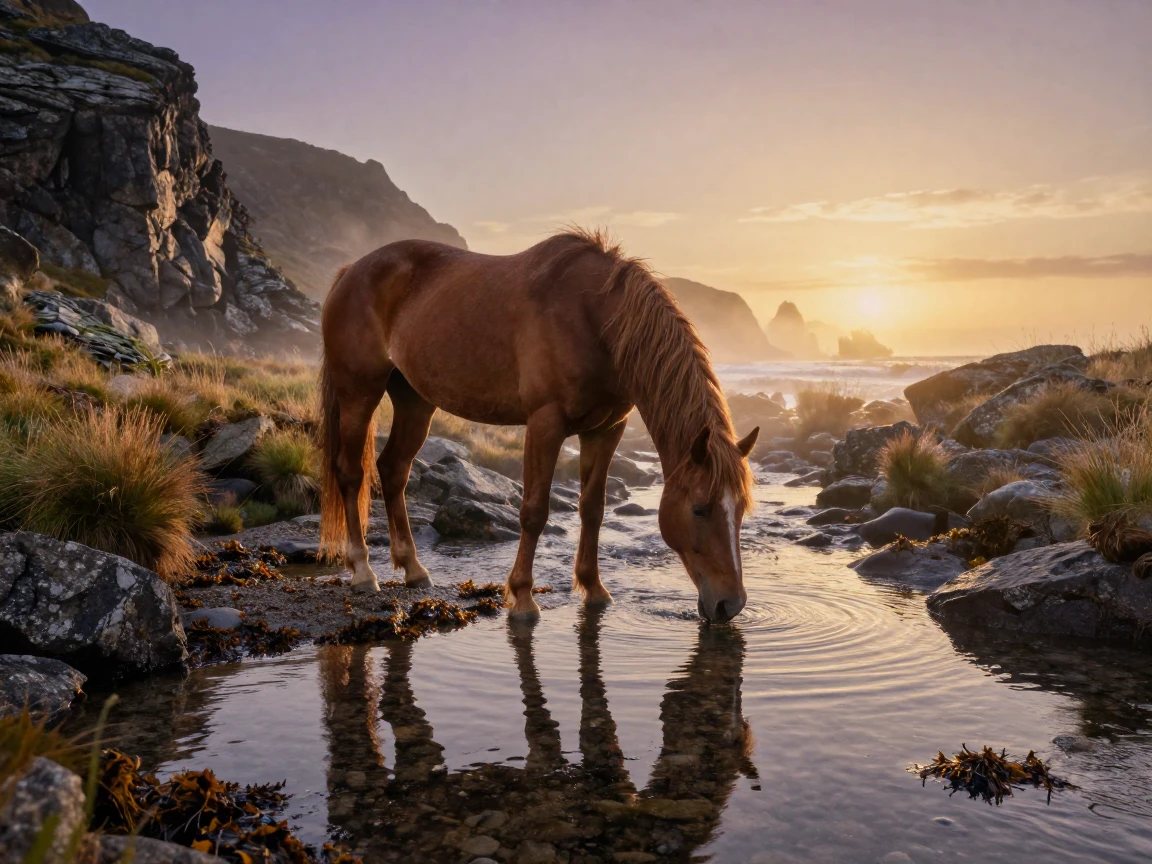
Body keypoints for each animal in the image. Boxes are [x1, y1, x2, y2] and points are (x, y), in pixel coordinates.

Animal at [317, 228, 759, 623]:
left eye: (740, 509)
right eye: (700, 509)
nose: (730, 605)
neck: (595, 318)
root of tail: (351, 271)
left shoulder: (607, 429)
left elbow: (593, 508)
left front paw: (594, 588)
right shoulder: (545, 423)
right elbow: (534, 511)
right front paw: (523, 598)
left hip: (414, 401)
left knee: (393, 470)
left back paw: (413, 569)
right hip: (359, 393)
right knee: (352, 473)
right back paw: (363, 571)